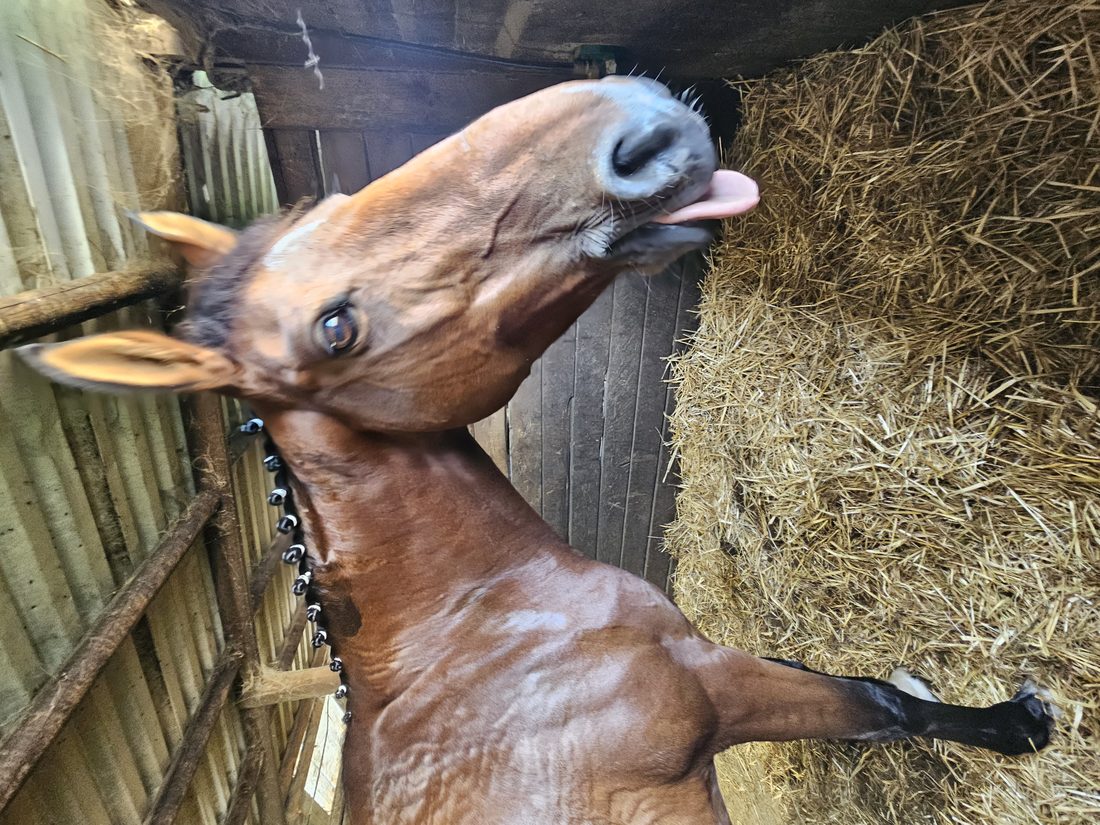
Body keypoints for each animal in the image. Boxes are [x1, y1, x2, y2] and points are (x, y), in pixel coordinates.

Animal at [20, 77, 1054, 825]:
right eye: (336, 328)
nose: (633, 127)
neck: (476, 630)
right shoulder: (712, 689)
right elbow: (879, 704)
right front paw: (1020, 724)